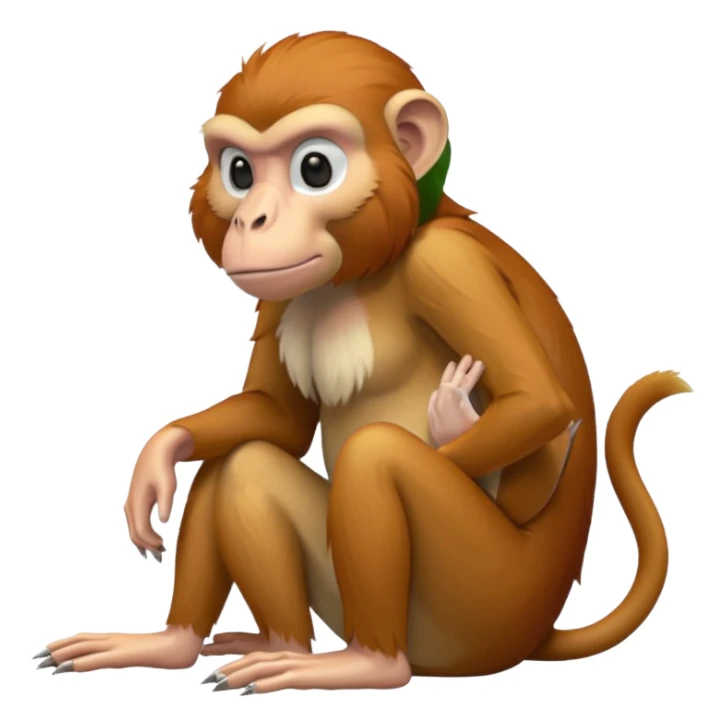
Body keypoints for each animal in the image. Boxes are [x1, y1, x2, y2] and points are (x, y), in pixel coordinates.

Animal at [38, 31, 690, 694]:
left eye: (315, 169)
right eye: (239, 172)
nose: (251, 220)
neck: (376, 260)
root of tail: (538, 630)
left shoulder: (447, 264)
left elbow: (539, 404)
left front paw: (457, 420)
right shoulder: (283, 291)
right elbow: (277, 421)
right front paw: (161, 449)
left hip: (482, 602)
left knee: (375, 455)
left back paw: (367, 663)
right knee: (242, 463)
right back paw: (218, 644)